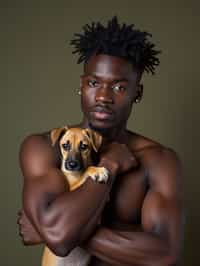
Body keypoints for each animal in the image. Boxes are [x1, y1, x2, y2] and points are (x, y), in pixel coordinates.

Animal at [42, 126, 109, 266]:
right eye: (65, 146)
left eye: (83, 146)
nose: (72, 164)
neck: (75, 174)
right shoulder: (69, 193)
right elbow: (87, 171)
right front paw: (97, 170)